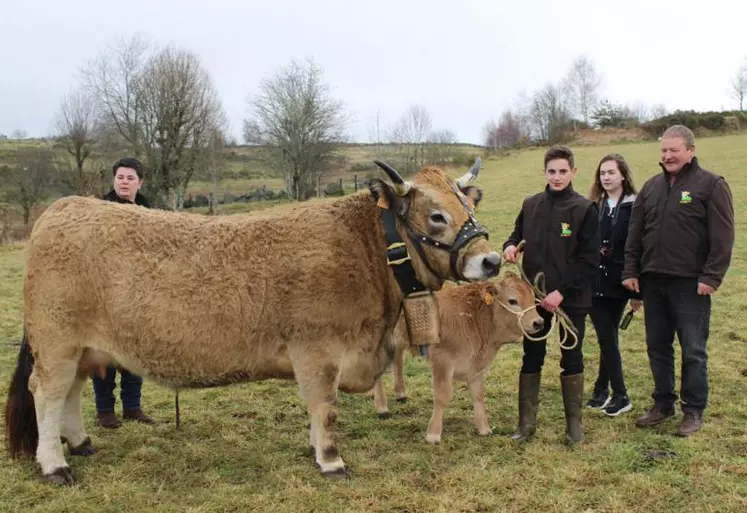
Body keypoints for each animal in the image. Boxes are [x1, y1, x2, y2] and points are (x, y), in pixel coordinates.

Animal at [4, 161, 502, 484]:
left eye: (469, 208)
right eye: (436, 216)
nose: (491, 260)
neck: (366, 249)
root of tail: (63, 208)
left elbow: (315, 409)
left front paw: (314, 449)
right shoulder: (317, 351)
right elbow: (326, 407)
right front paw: (331, 460)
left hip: (81, 349)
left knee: (69, 394)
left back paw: (80, 442)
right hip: (57, 344)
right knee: (47, 395)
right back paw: (55, 466)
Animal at [372, 272, 544, 444]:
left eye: (533, 297)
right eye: (512, 300)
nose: (539, 322)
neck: (474, 319)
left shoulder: (477, 366)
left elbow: (478, 395)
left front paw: (484, 429)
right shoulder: (442, 360)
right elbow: (443, 396)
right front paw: (433, 434)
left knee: (397, 360)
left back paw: (400, 393)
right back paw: (382, 408)